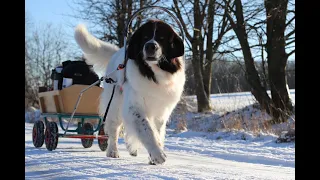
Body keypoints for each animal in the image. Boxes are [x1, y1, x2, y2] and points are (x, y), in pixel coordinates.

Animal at [74, 19, 185, 165]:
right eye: (145, 37)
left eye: (161, 38)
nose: (150, 46)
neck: (153, 74)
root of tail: (117, 52)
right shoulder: (134, 107)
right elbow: (147, 130)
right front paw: (157, 154)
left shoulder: (161, 111)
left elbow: (157, 132)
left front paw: (154, 153)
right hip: (115, 104)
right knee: (113, 129)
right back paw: (113, 151)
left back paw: (132, 149)